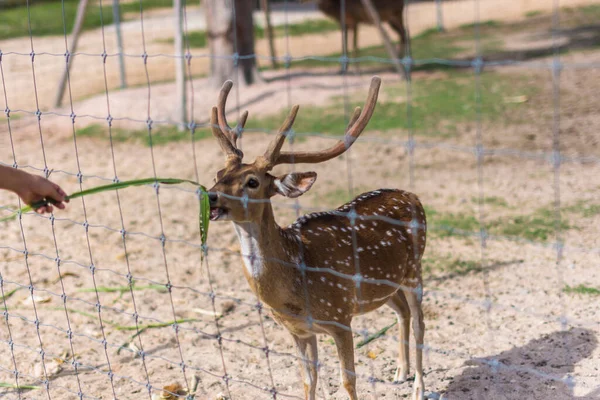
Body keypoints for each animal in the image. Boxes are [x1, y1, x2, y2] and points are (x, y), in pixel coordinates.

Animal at [206, 76, 426, 400]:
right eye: (218, 174)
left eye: (252, 181)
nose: (210, 196)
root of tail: (411, 194)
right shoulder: (298, 330)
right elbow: (308, 380)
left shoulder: (340, 316)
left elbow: (348, 380)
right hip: (385, 283)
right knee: (401, 310)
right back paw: (400, 372)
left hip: (415, 268)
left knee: (420, 320)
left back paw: (419, 387)